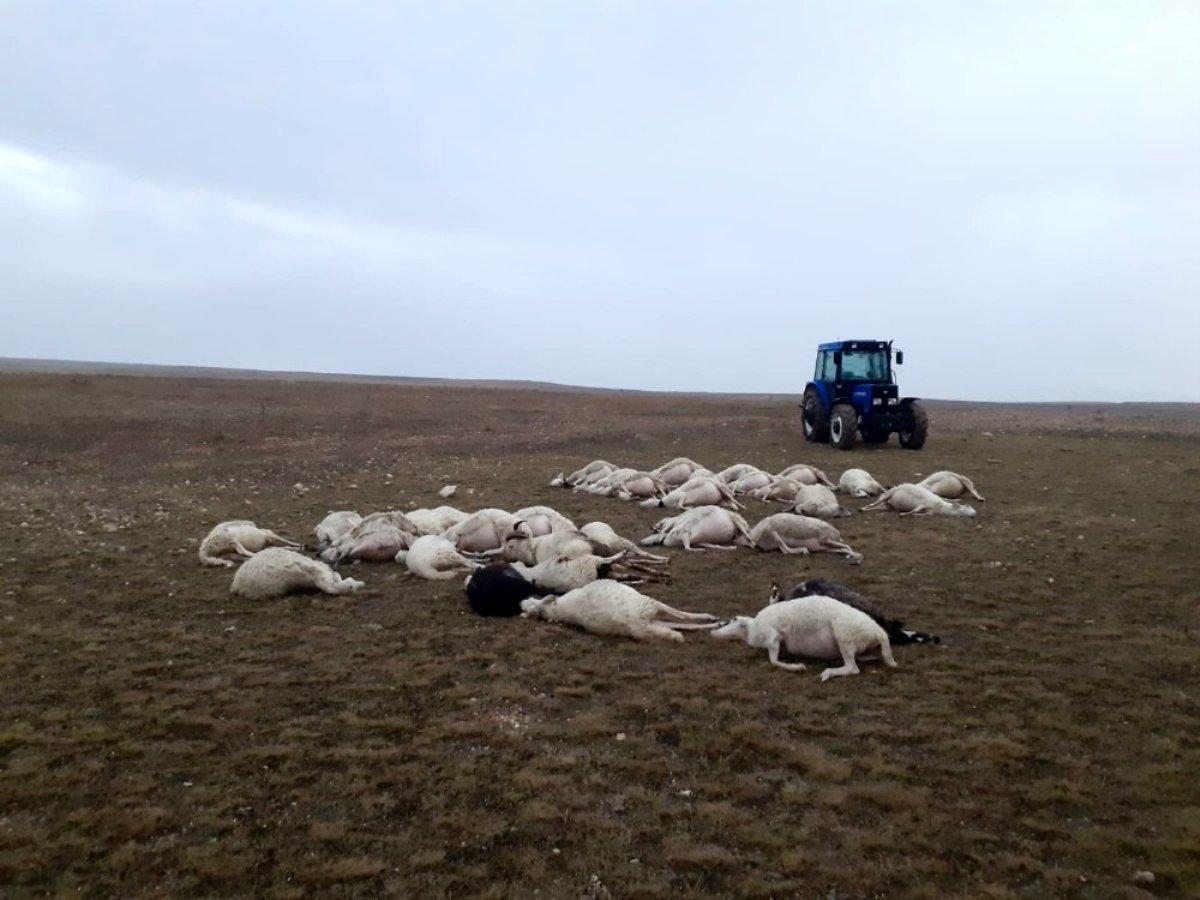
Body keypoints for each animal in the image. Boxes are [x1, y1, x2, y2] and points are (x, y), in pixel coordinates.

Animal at [520, 580, 715, 643]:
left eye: (530, 603)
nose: (522, 601)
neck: (557, 609)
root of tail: (637, 624)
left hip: (652, 620)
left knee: (680, 625)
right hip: (649, 605)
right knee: (681, 618)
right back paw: (712, 619)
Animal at [705, 595, 897, 681]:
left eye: (733, 620)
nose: (712, 633)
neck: (753, 628)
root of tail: (880, 633)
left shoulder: (773, 636)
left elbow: (774, 661)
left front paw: (798, 667)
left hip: (844, 636)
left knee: (852, 668)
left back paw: (828, 673)